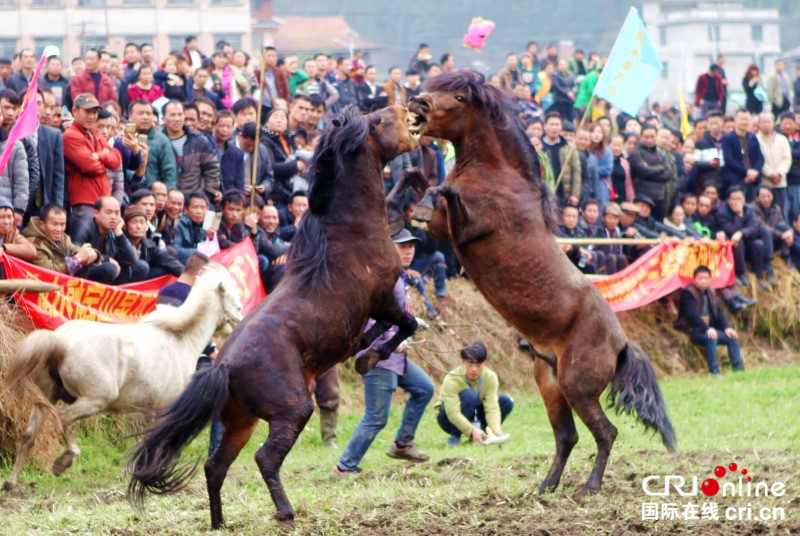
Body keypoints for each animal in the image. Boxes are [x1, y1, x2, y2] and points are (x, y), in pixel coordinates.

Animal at [2, 264, 244, 490]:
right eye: (238, 305)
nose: (240, 325)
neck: (179, 340)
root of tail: (59, 340)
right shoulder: (164, 408)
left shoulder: (148, 410)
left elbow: (144, 440)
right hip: (94, 401)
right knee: (63, 418)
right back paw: (65, 460)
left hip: (46, 398)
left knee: (28, 436)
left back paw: (12, 483)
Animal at [125, 103, 418, 528]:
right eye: (378, 120)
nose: (405, 107)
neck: (349, 231)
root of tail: (224, 366)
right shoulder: (382, 296)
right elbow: (405, 324)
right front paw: (370, 358)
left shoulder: (374, 306)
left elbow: (384, 328)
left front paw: (364, 350)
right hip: (292, 409)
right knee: (265, 457)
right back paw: (284, 512)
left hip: (240, 421)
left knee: (216, 466)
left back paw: (220, 523)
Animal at [406, 71, 676, 498]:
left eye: (459, 97)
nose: (417, 102)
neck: (496, 176)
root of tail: (620, 345)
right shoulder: (442, 231)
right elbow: (423, 185)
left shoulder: (467, 226)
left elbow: (443, 190)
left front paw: (421, 200)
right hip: (550, 384)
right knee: (567, 437)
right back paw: (546, 487)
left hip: (577, 385)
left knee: (606, 433)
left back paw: (588, 489)